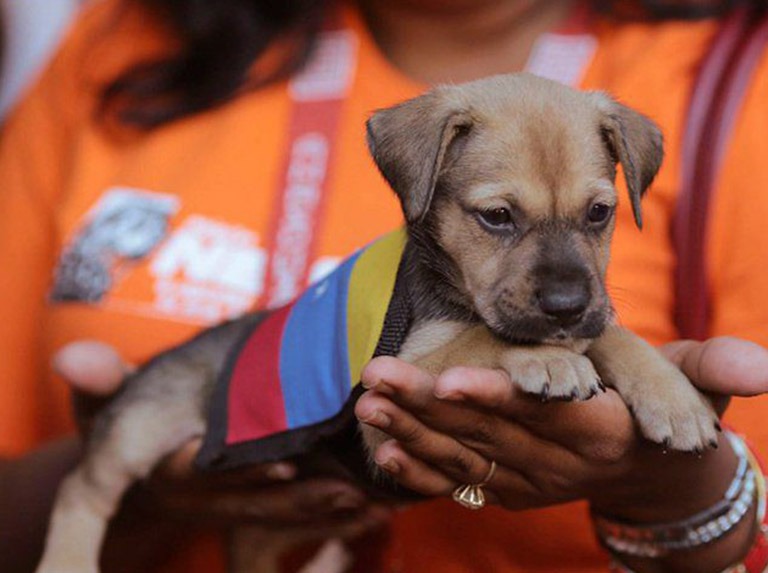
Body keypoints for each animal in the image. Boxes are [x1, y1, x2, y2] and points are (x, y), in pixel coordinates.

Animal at [34, 75, 720, 572]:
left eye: (600, 213)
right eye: (497, 217)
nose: (565, 305)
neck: (450, 285)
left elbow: (613, 333)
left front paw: (675, 400)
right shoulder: (395, 374)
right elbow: (484, 335)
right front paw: (547, 357)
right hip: (142, 425)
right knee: (82, 487)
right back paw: (67, 560)